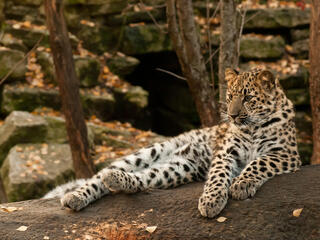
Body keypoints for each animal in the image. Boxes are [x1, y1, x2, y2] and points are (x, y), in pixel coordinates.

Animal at [43, 67, 302, 218]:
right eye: (230, 97)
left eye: (248, 98)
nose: (232, 115)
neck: (253, 127)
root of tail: (183, 150)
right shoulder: (226, 152)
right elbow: (219, 175)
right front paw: (212, 200)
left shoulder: (286, 154)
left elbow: (258, 163)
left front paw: (241, 184)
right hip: (150, 152)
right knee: (100, 176)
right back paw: (77, 196)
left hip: (179, 169)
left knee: (139, 181)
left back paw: (115, 180)